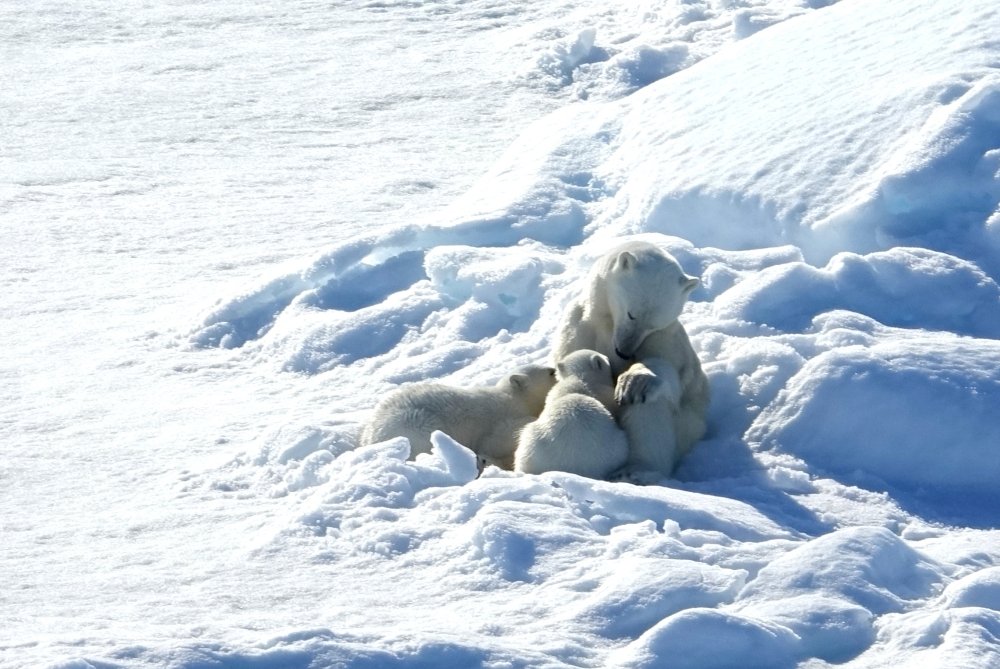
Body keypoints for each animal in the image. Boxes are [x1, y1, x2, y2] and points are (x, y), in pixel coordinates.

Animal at [364, 362, 560, 468]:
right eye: (551, 372)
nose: (555, 367)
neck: (514, 398)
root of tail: (372, 437)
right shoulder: (499, 421)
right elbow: (501, 437)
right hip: (416, 424)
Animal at [556, 240, 712, 474]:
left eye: (653, 325)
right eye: (632, 314)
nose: (625, 352)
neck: (608, 324)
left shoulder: (665, 336)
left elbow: (671, 372)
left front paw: (635, 380)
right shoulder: (580, 324)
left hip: (688, 427)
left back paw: (637, 470)